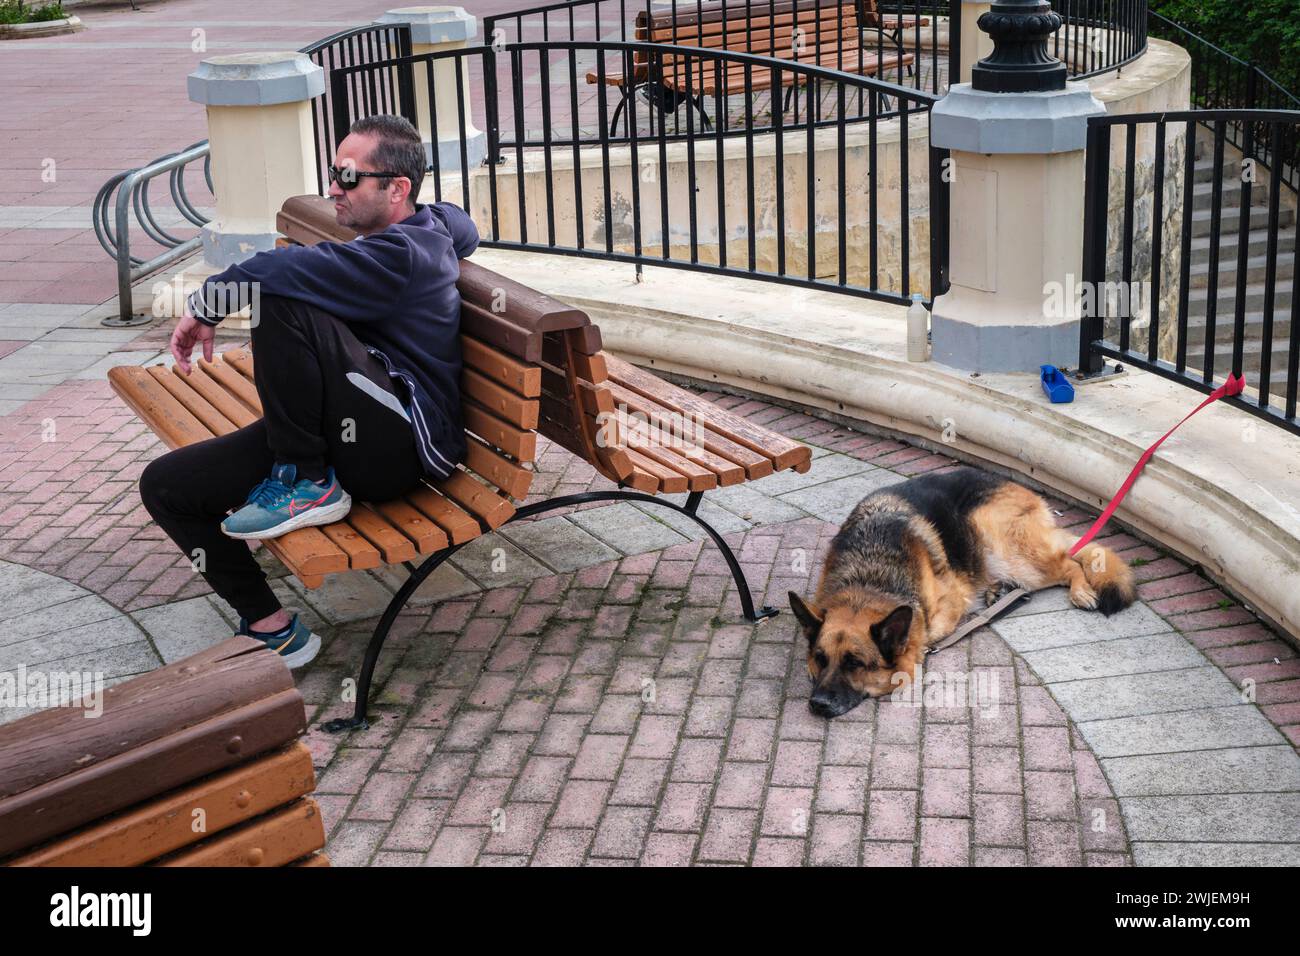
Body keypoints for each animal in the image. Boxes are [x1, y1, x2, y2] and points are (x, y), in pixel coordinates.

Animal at [785, 470, 1133, 717]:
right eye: (820, 659)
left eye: (855, 664)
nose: (818, 704)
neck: (868, 580)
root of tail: (1010, 482)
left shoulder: (946, 605)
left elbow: (926, 631)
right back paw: (998, 590)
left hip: (1004, 546)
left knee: (1070, 561)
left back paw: (1081, 591)